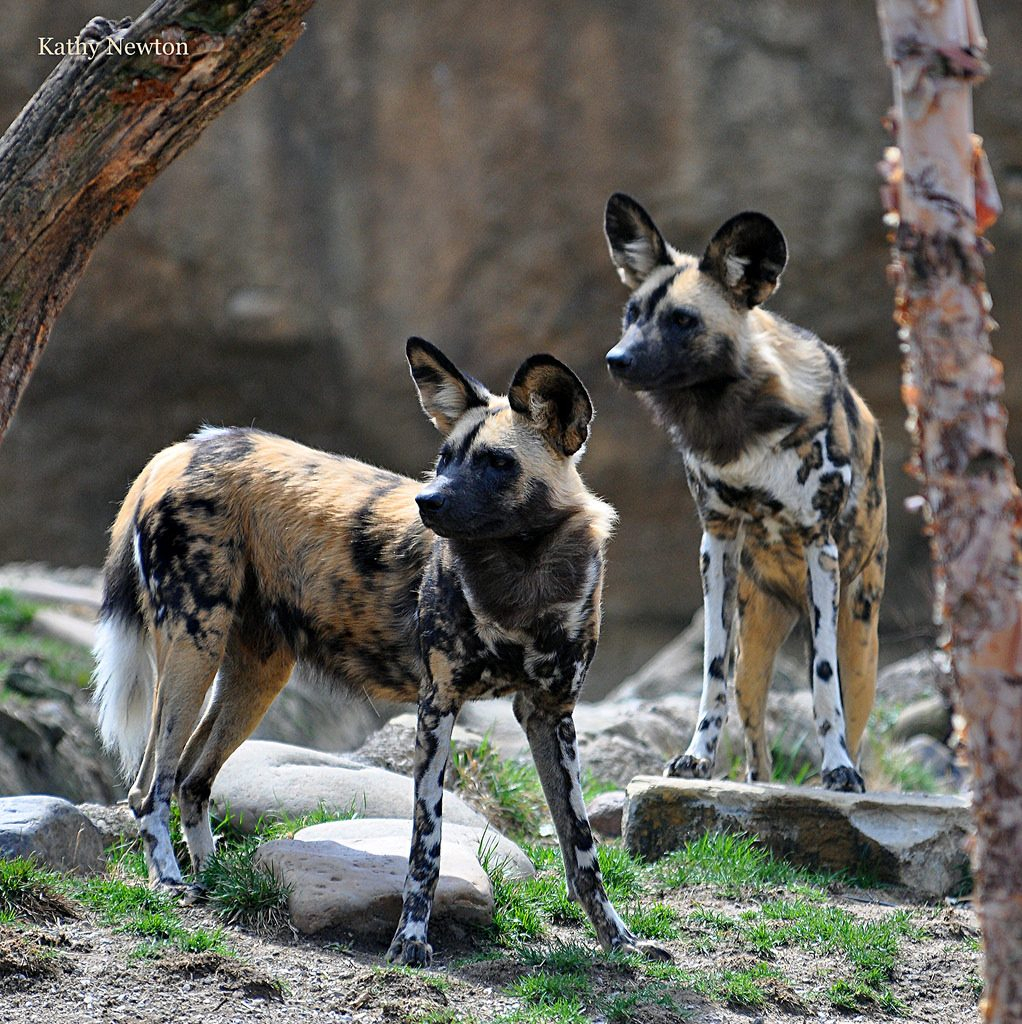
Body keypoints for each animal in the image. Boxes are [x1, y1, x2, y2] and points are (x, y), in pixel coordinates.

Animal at [94, 337, 671, 966]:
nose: (428, 501)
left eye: (498, 464)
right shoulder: (437, 707)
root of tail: (183, 449)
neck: (521, 577)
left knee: (192, 778)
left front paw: (619, 940)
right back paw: (170, 882)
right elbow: (427, 844)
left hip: (256, 674)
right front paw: (410, 941)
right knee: (149, 786)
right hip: (193, 647)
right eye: (445, 458)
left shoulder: (550, 714)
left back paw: (217, 878)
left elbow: (582, 846)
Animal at [602, 195, 884, 794]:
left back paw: (846, 769)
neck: (737, 422)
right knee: (756, 733)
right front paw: (697, 759)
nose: (617, 359)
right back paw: (756, 785)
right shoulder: (717, 543)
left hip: (860, 639)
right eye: (633, 314)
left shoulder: (820, 550)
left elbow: (823, 683)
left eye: (682, 321)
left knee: (851, 710)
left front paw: (837, 769)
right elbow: (712, 673)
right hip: (756, 644)